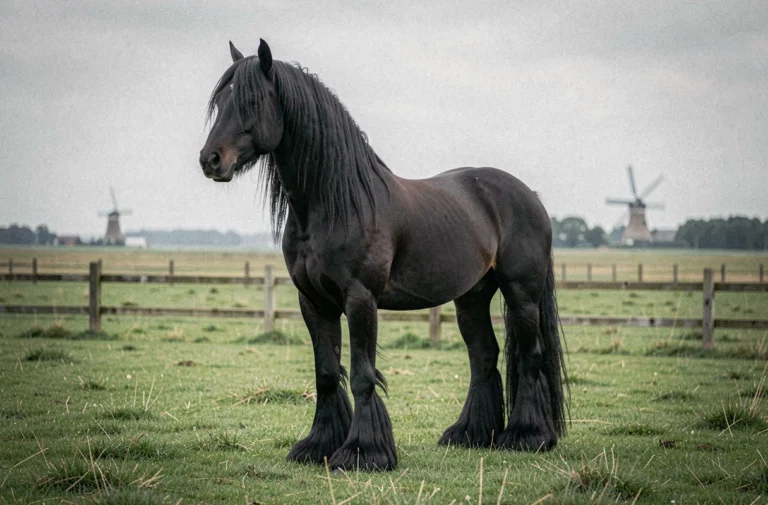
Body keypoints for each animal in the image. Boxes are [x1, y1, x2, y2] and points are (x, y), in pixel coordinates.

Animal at [199, 39, 568, 472]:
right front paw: (318, 446)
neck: (334, 204)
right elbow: (327, 373)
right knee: (484, 356)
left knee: (530, 356)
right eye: (220, 101)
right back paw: (470, 434)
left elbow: (362, 375)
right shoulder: (314, 302)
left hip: (521, 294)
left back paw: (527, 436)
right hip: (472, 297)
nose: (210, 160)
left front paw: (363, 452)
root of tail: (528, 195)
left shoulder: (361, 299)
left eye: (253, 100)